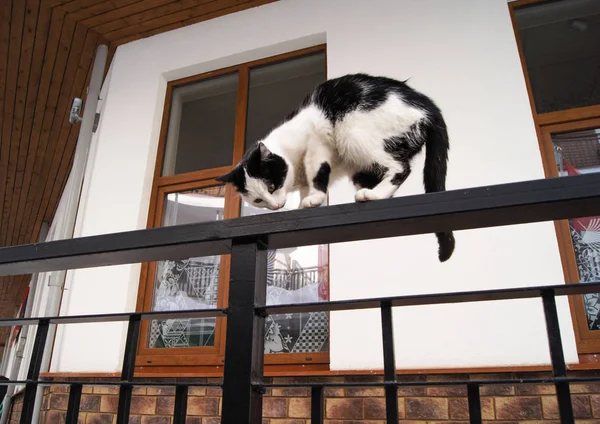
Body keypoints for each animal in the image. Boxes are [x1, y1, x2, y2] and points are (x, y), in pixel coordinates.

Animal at [216, 73, 454, 262]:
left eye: (272, 186)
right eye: (258, 200)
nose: (275, 206)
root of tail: (428, 106)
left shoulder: (317, 145)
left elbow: (316, 173)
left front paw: (314, 198)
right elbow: (306, 189)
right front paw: (304, 204)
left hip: (353, 131)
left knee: (401, 168)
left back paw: (373, 195)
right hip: (362, 165)